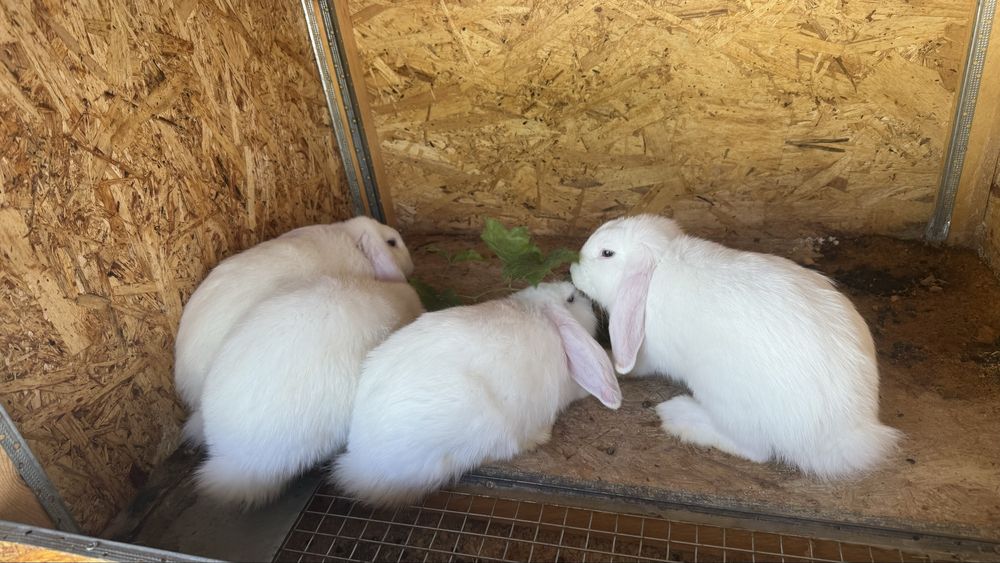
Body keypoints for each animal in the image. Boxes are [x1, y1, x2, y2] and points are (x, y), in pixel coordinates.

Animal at [570, 214, 901, 478]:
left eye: (607, 253)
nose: (573, 269)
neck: (658, 266)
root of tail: (847, 432)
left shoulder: (645, 351)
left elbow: (634, 365)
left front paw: (609, 359)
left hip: (725, 399)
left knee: (755, 450)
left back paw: (680, 417)